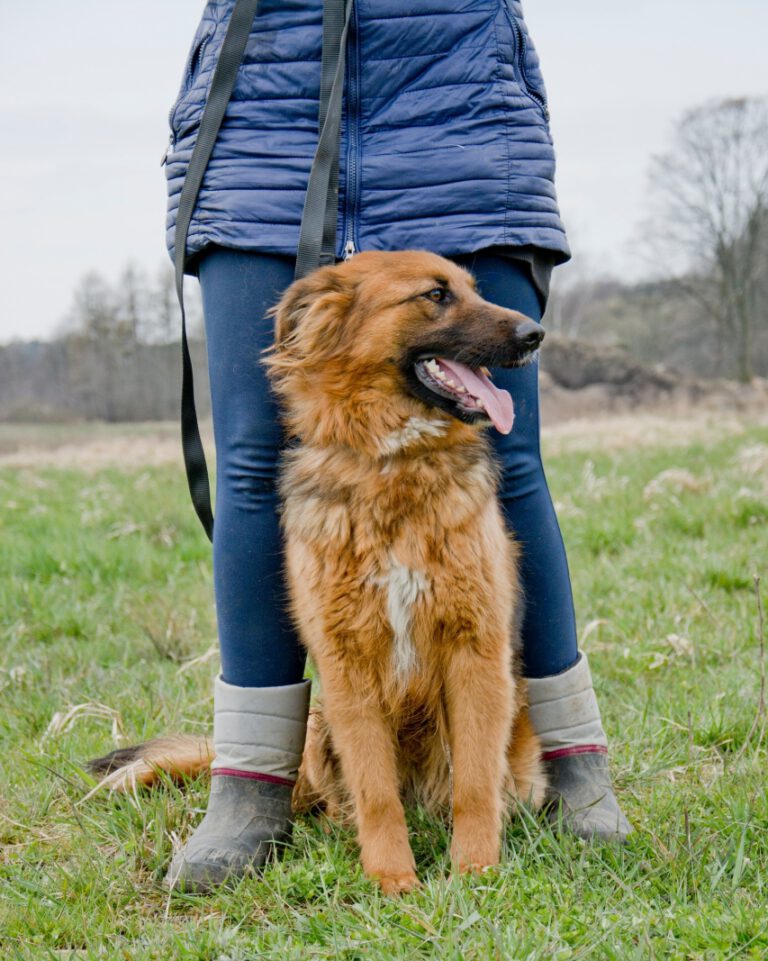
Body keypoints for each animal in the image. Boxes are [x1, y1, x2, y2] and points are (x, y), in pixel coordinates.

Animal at [90, 253, 544, 892]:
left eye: (475, 289)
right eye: (435, 295)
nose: (536, 334)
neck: (393, 464)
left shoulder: (476, 652)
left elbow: (475, 784)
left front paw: (474, 871)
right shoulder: (346, 665)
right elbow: (376, 792)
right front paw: (392, 880)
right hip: (322, 726)